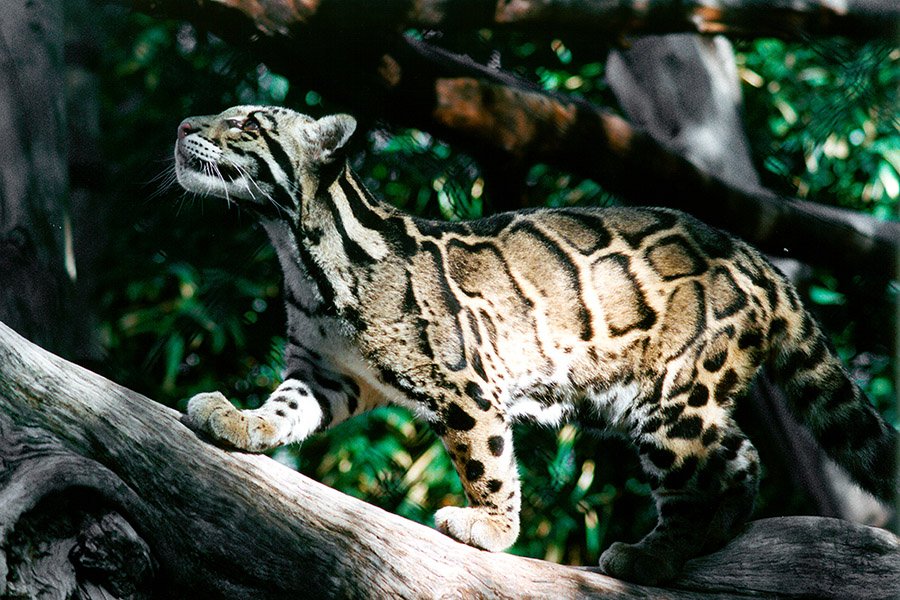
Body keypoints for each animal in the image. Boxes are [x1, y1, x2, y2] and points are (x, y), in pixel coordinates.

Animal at [174, 105, 892, 584]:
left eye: (246, 123)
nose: (183, 127)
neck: (300, 253)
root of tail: (756, 258)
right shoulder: (323, 372)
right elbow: (284, 408)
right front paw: (240, 420)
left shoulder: (464, 381)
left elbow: (487, 458)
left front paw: (492, 528)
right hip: (657, 403)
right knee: (740, 453)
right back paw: (710, 534)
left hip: (673, 399)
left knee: (700, 475)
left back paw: (653, 553)